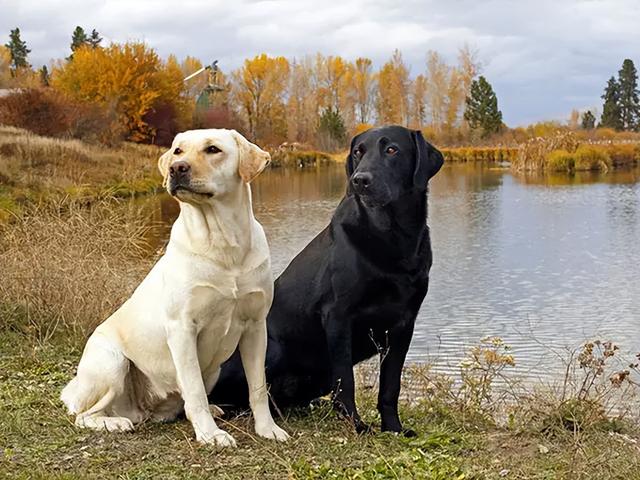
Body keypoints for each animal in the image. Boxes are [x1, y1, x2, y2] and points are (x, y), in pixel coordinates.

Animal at [60, 127, 290, 446]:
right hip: (111, 361)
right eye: (178, 151)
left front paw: (268, 428)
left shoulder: (256, 326)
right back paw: (115, 423)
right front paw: (210, 434)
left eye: (213, 149)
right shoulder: (182, 329)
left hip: (213, 369)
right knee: (85, 415)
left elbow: (257, 388)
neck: (222, 243)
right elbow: (194, 390)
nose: (176, 168)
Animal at [212, 124, 442, 436]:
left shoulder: (404, 325)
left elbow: (390, 385)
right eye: (358, 152)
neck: (392, 236)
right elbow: (346, 381)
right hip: (270, 349)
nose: (360, 181)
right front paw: (356, 425)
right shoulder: (338, 315)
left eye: (392, 149)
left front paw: (393, 427)